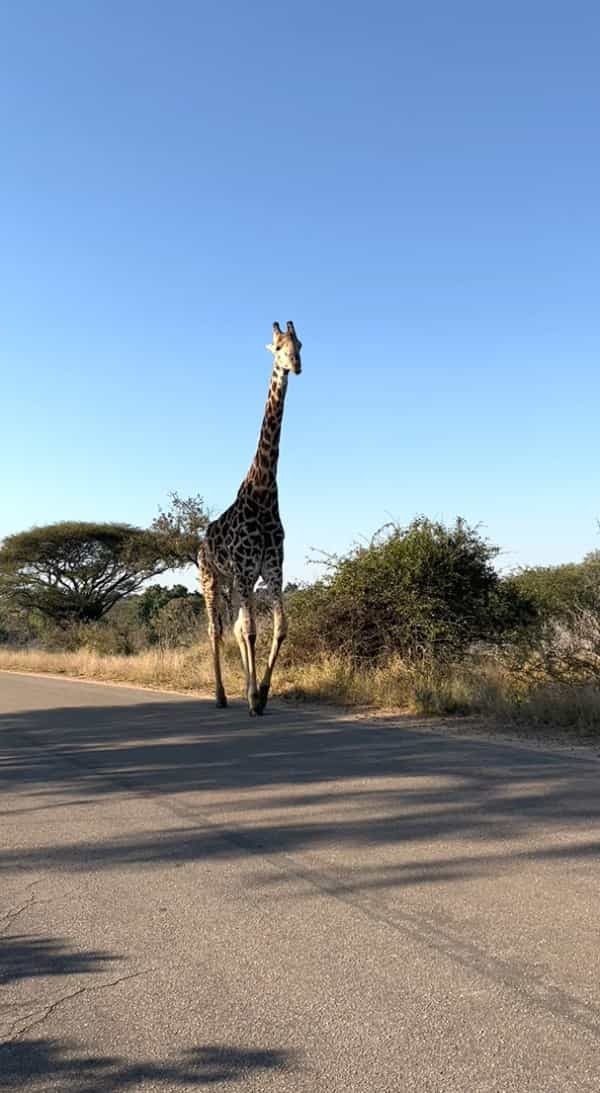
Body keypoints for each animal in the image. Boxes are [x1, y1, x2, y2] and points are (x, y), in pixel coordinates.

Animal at [197, 319, 301, 717]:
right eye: (278, 348)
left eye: (300, 345)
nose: (295, 366)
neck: (264, 492)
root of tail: (201, 542)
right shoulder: (244, 569)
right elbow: (253, 631)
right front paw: (255, 697)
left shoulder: (271, 567)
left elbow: (279, 627)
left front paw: (263, 692)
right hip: (212, 580)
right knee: (215, 629)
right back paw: (221, 695)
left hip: (234, 581)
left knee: (235, 626)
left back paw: (244, 691)